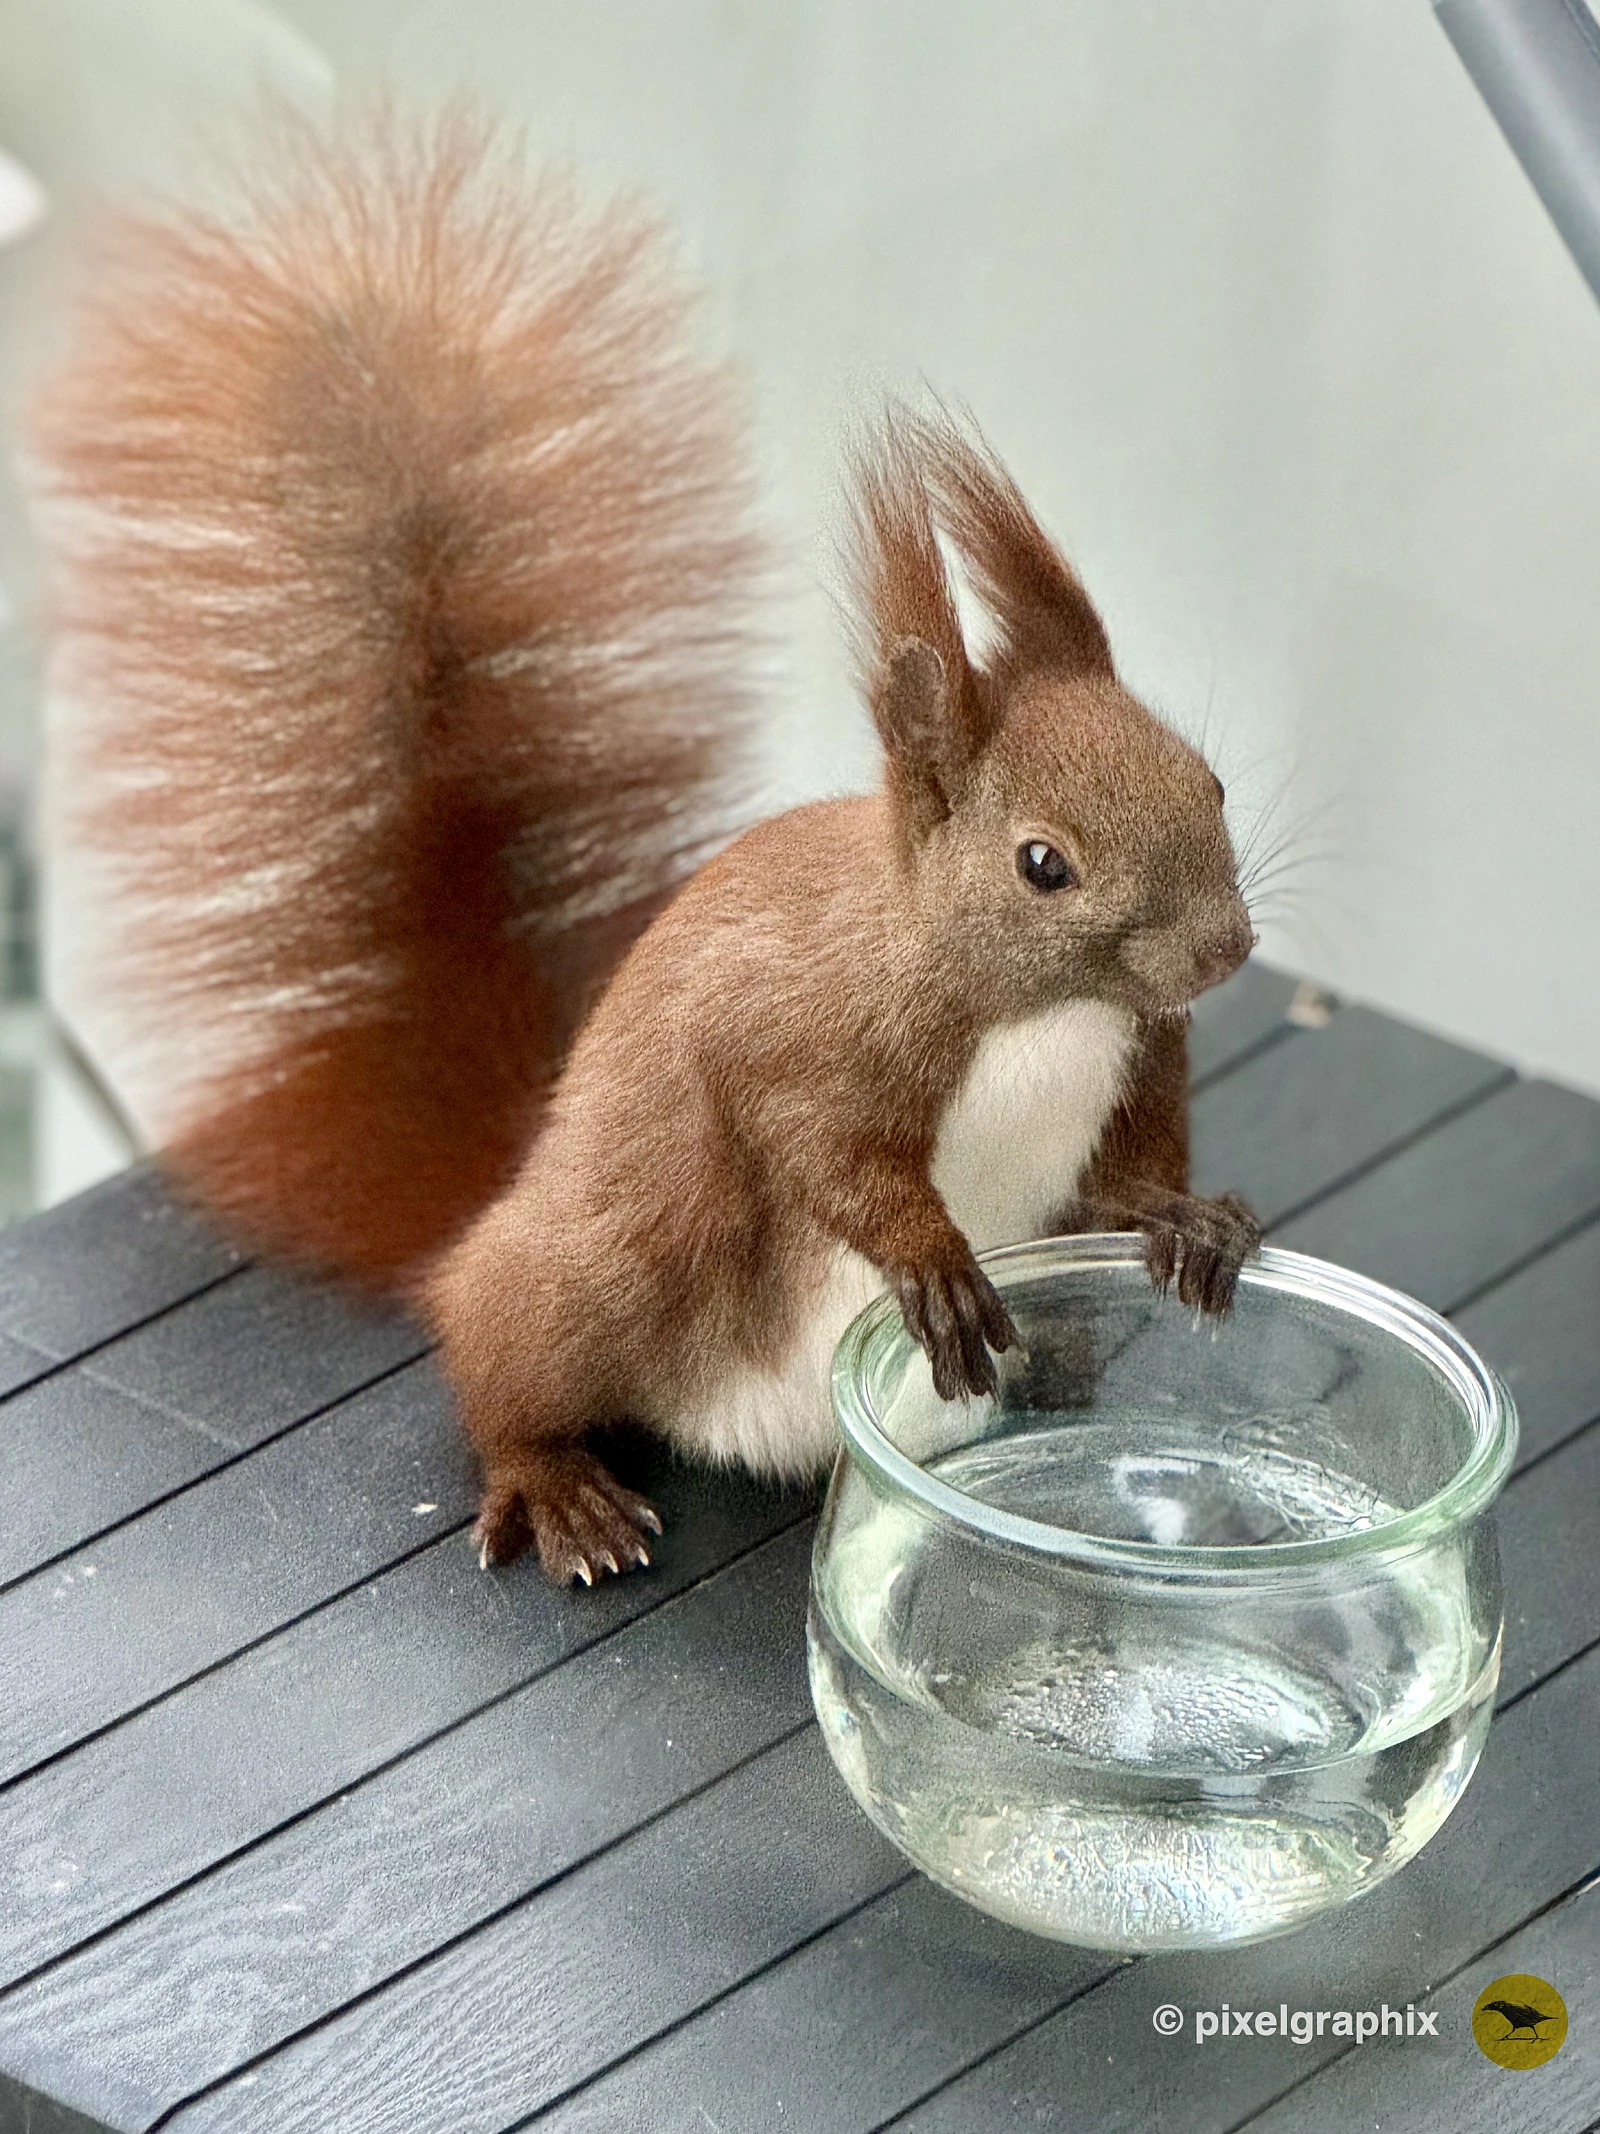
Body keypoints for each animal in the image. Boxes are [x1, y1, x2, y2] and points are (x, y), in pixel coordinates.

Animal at [31, 105, 1261, 1586]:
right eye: (1043, 864)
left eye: (1210, 781)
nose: (1225, 950)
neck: (1042, 1008)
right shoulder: (800, 1032)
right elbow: (824, 1147)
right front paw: (929, 1253)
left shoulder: (1141, 1050)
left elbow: (1133, 1161)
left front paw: (1188, 1220)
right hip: (602, 1265)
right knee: (494, 1355)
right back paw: (556, 1485)